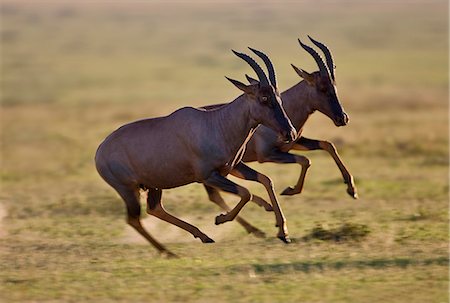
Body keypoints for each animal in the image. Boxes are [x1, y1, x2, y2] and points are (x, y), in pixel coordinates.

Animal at [95, 48, 298, 258]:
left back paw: (199, 238)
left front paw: (284, 233)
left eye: (278, 97)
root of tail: (100, 150)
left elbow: (266, 180)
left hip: (154, 185)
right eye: (263, 98)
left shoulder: (232, 168)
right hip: (127, 189)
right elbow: (245, 192)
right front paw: (220, 219)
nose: (289, 133)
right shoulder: (207, 176)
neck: (215, 124)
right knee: (134, 219)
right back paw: (170, 252)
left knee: (155, 209)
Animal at [202, 36, 356, 236]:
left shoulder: (293, 143)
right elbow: (305, 160)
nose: (342, 118)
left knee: (217, 194)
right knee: (216, 195)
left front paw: (351, 189)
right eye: (322, 87)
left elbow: (327, 145)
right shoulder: (268, 155)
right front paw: (290, 191)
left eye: (334, 85)